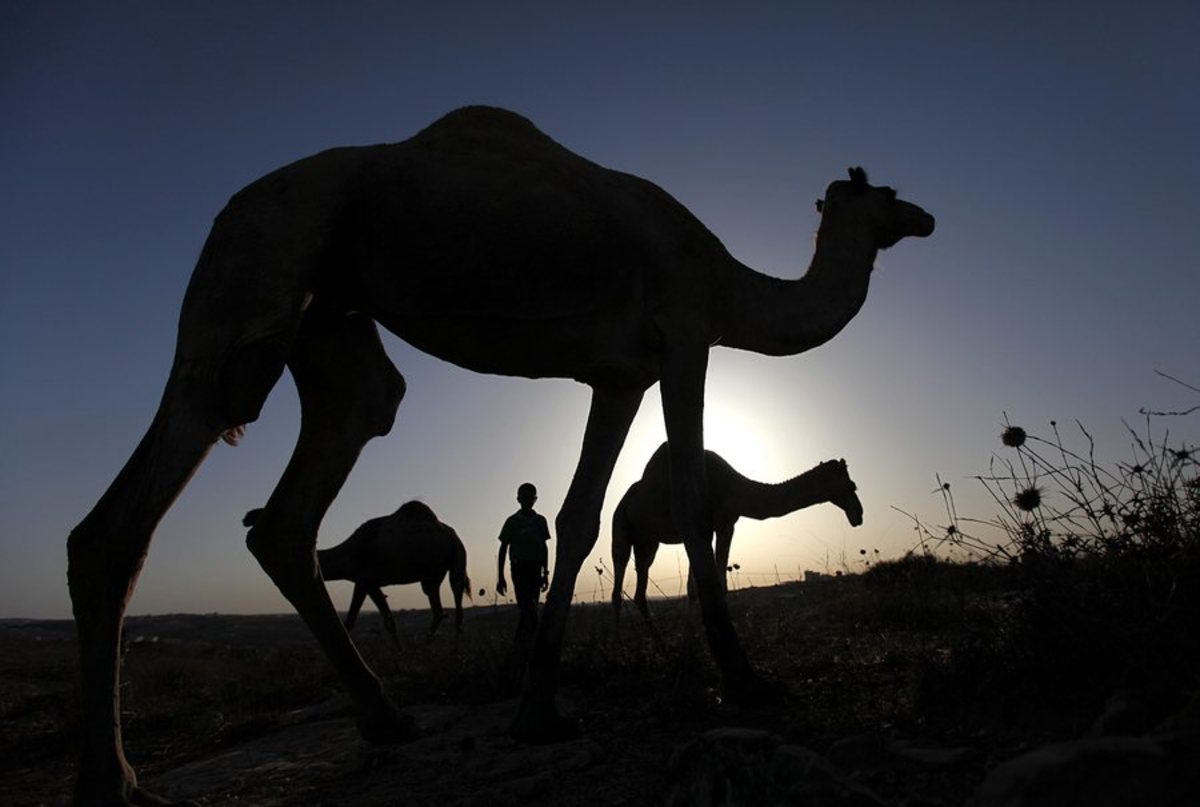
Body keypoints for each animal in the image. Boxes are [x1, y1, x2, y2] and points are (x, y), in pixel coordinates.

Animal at [241, 501, 470, 648]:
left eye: (265, 513)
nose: (245, 517)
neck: (348, 554)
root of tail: (454, 535)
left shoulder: (363, 579)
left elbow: (351, 621)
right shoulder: (371, 583)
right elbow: (388, 619)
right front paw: (399, 652)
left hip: (458, 556)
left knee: (457, 591)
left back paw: (457, 639)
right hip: (431, 574)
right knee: (437, 607)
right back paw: (427, 642)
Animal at [614, 441, 859, 624]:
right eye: (852, 486)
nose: (859, 515)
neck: (732, 488)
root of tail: (626, 500)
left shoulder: (725, 525)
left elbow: (711, 584)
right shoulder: (700, 527)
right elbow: (696, 587)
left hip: (647, 542)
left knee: (640, 590)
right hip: (620, 525)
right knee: (618, 581)